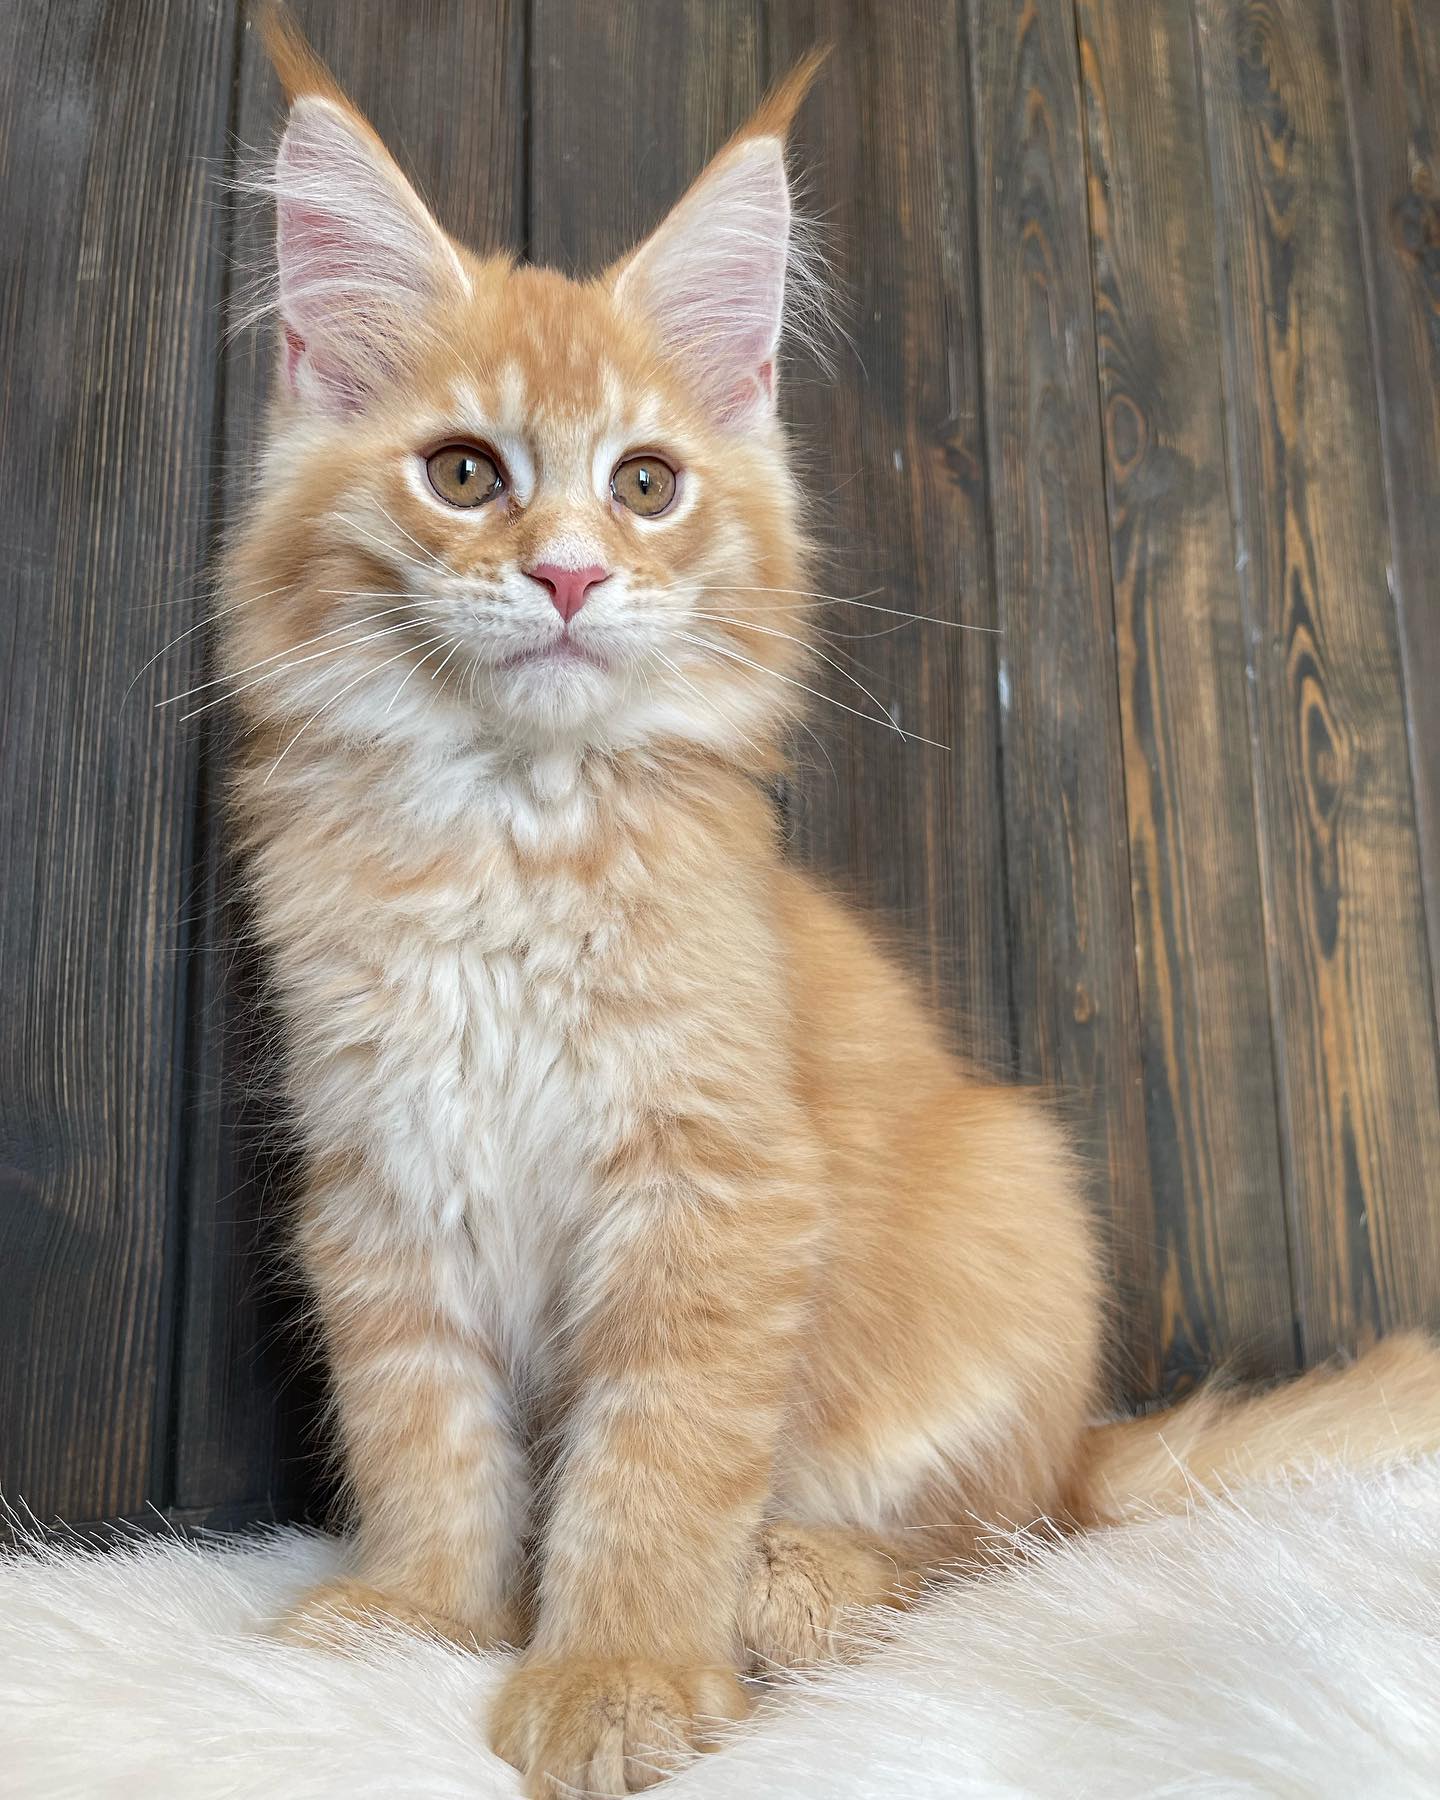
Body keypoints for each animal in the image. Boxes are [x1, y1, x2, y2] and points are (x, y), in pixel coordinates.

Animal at [219, 14, 1440, 1800]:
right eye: (463, 474)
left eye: (647, 485)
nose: (570, 574)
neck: (512, 833)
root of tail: (1083, 1440)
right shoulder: (387, 1181)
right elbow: (425, 1435)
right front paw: (424, 1618)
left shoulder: (719, 1187)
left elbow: (654, 1468)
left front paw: (616, 1676)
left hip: (1012, 1208)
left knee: (993, 1548)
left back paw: (799, 1582)